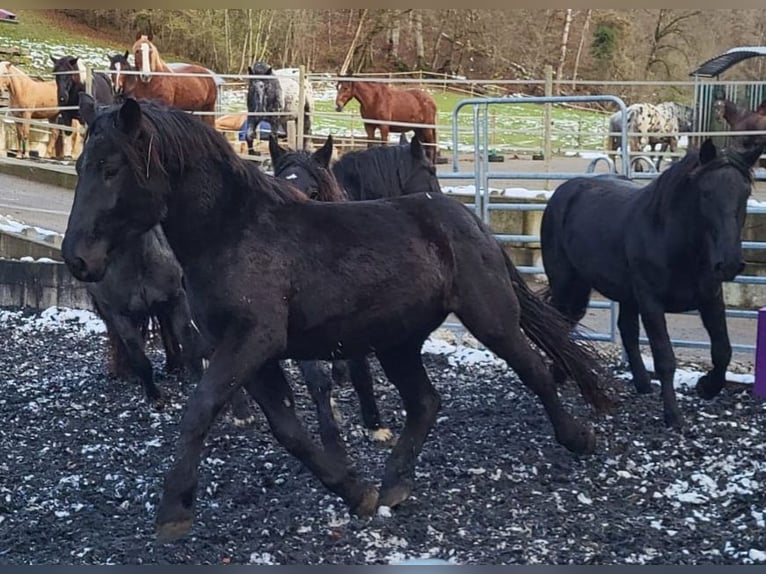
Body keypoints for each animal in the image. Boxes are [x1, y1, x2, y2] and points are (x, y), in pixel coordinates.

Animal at [540, 140, 760, 432]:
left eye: (745, 193)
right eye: (706, 192)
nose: (730, 264)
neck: (673, 241)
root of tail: (563, 191)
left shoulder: (711, 299)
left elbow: (723, 349)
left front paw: (707, 387)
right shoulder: (651, 302)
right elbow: (665, 358)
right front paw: (673, 415)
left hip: (622, 293)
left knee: (623, 329)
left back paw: (641, 383)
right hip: (568, 282)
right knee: (560, 319)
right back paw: (558, 372)